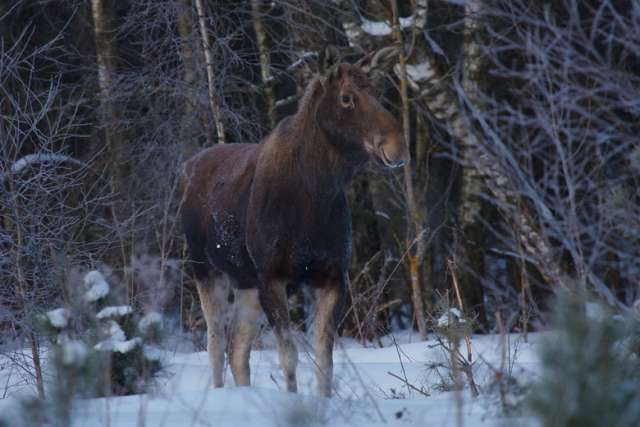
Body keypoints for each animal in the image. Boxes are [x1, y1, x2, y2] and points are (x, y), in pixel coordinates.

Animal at [180, 57, 410, 398]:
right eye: (347, 98)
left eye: (376, 91)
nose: (398, 147)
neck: (315, 196)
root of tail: (188, 168)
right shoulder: (272, 277)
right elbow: (288, 355)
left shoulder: (331, 276)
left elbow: (324, 359)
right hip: (206, 270)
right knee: (216, 344)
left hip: (245, 282)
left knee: (238, 350)